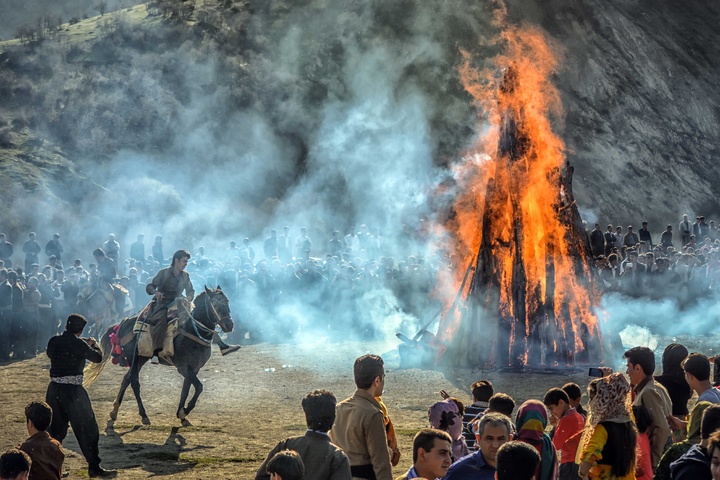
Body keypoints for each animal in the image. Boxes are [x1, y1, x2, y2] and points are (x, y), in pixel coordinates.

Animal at [85, 286, 233, 426]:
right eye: (215, 304)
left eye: (227, 302)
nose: (229, 325)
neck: (192, 331)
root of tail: (123, 323)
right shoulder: (183, 368)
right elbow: (199, 387)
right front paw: (184, 411)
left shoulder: (194, 369)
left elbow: (186, 390)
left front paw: (182, 414)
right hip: (135, 358)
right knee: (134, 382)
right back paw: (143, 415)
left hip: (141, 358)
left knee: (127, 379)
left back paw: (115, 411)